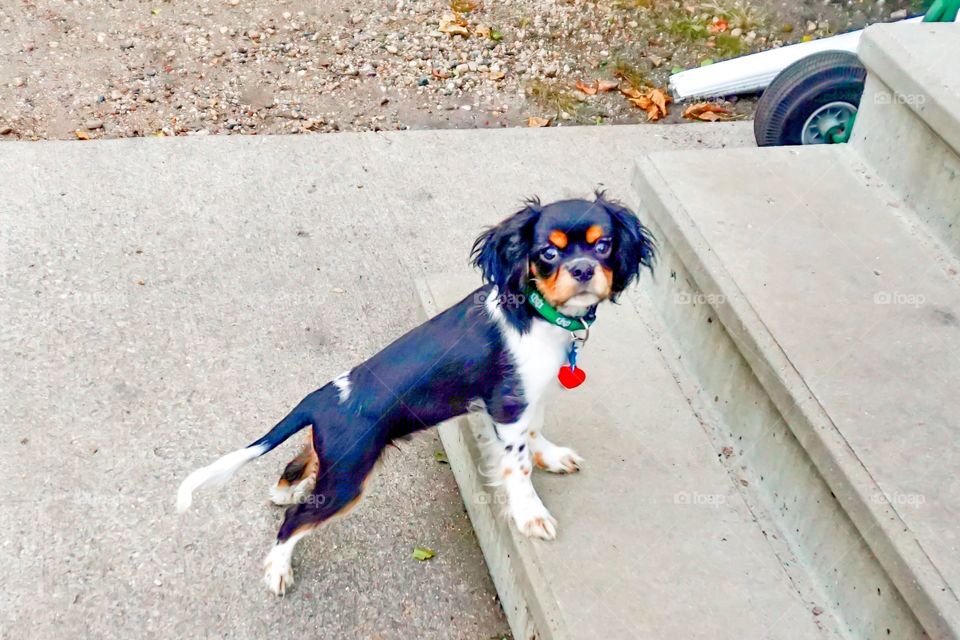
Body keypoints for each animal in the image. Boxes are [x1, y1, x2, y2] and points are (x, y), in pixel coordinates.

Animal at [176, 190, 656, 596]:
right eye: (548, 253)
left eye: (603, 245)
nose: (583, 270)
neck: (539, 315)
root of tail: (323, 396)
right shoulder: (508, 405)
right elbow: (517, 465)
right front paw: (531, 514)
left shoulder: (526, 398)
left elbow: (536, 433)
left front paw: (552, 457)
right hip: (350, 478)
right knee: (293, 523)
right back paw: (278, 568)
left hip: (337, 459)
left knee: (300, 464)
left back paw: (285, 491)